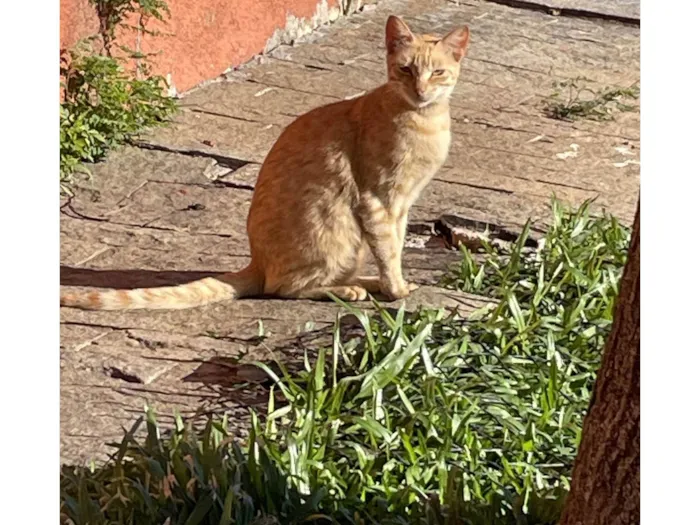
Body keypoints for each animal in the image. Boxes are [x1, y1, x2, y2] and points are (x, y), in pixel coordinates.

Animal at [61, 16, 470, 310]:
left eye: (436, 72)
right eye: (406, 69)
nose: (421, 90)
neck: (424, 121)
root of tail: (256, 262)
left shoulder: (402, 205)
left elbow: (396, 247)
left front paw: (394, 284)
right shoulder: (378, 201)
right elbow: (388, 250)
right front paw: (396, 289)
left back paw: (361, 283)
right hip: (335, 229)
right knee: (284, 288)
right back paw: (349, 290)